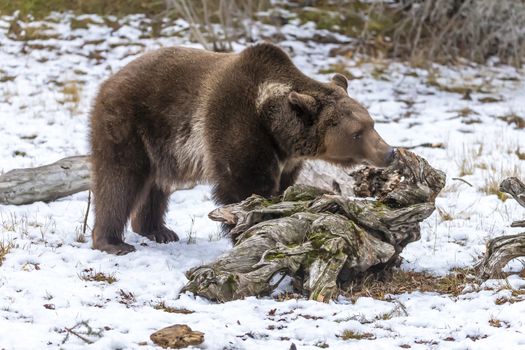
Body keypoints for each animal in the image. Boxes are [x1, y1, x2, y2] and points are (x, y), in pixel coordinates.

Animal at [90, 42, 392, 254]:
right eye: (357, 133)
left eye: (372, 123)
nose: (388, 152)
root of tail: (110, 80)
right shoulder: (236, 125)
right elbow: (244, 188)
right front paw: (250, 233)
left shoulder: (287, 159)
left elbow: (284, 189)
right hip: (131, 122)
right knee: (119, 179)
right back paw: (112, 241)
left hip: (162, 145)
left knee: (156, 184)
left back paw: (158, 230)